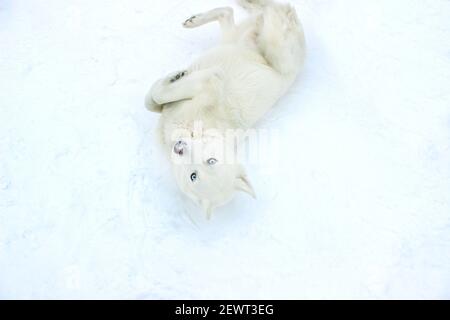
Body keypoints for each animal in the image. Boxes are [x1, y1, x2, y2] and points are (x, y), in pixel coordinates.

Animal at [146, 0, 304, 218]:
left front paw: (172, 79)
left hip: (278, 54)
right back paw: (196, 20)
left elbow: (160, 95)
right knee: (232, 13)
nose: (180, 147)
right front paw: (175, 76)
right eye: (211, 160)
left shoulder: (210, 84)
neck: (197, 129)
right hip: (239, 42)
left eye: (194, 176)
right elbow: (152, 101)